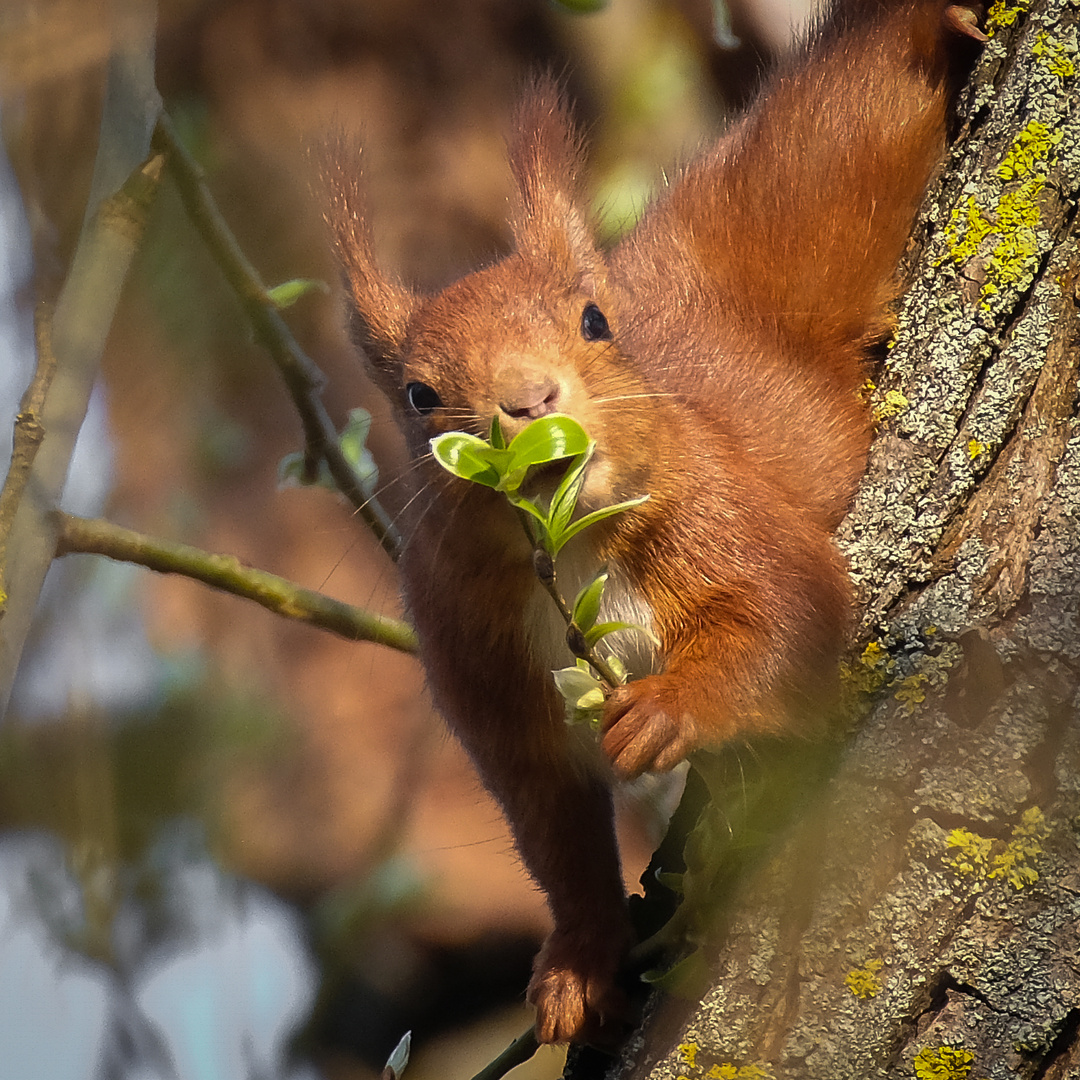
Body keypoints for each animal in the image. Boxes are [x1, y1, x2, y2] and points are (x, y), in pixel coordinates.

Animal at [324, 0, 984, 1045]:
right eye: (420, 396)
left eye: (594, 323)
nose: (526, 401)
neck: (572, 544)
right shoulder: (471, 647)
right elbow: (551, 817)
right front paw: (578, 960)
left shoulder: (718, 503)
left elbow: (787, 606)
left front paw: (673, 707)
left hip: (816, 172)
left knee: (856, 94)